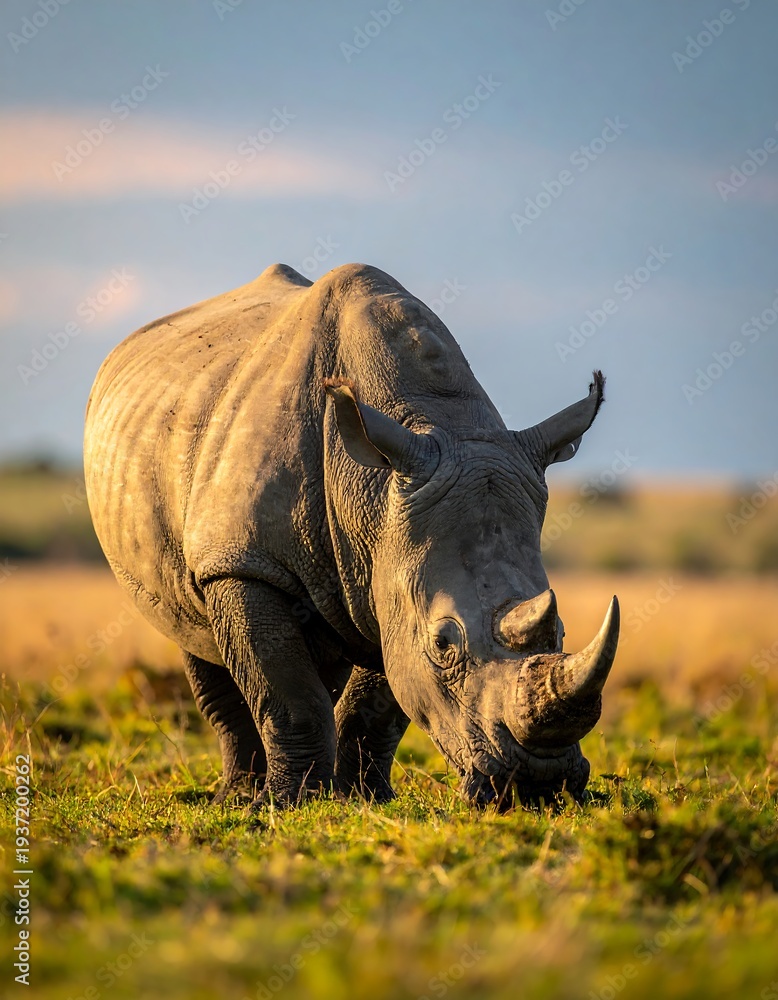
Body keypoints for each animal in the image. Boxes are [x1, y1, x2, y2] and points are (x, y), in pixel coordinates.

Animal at [84, 262, 619, 809]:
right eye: (443, 643)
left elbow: (378, 704)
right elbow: (287, 691)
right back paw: (237, 797)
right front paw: (291, 803)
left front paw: (367, 798)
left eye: (561, 633)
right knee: (194, 632)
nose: (538, 784)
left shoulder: (387, 568)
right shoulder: (245, 561)